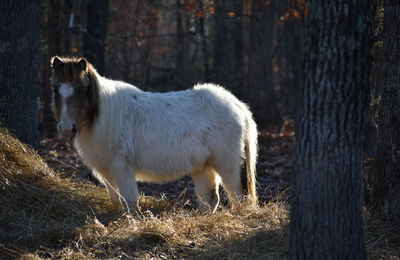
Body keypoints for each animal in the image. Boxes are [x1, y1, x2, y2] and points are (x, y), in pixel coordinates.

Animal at [50, 55, 258, 212]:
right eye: (55, 89)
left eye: (82, 90)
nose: (66, 128)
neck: (104, 117)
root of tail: (238, 106)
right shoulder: (107, 173)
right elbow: (117, 201)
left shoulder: (123, 169)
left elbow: (130, 203)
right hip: (203, 167)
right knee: (210, 200)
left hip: (228, 167)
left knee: (238, 198)